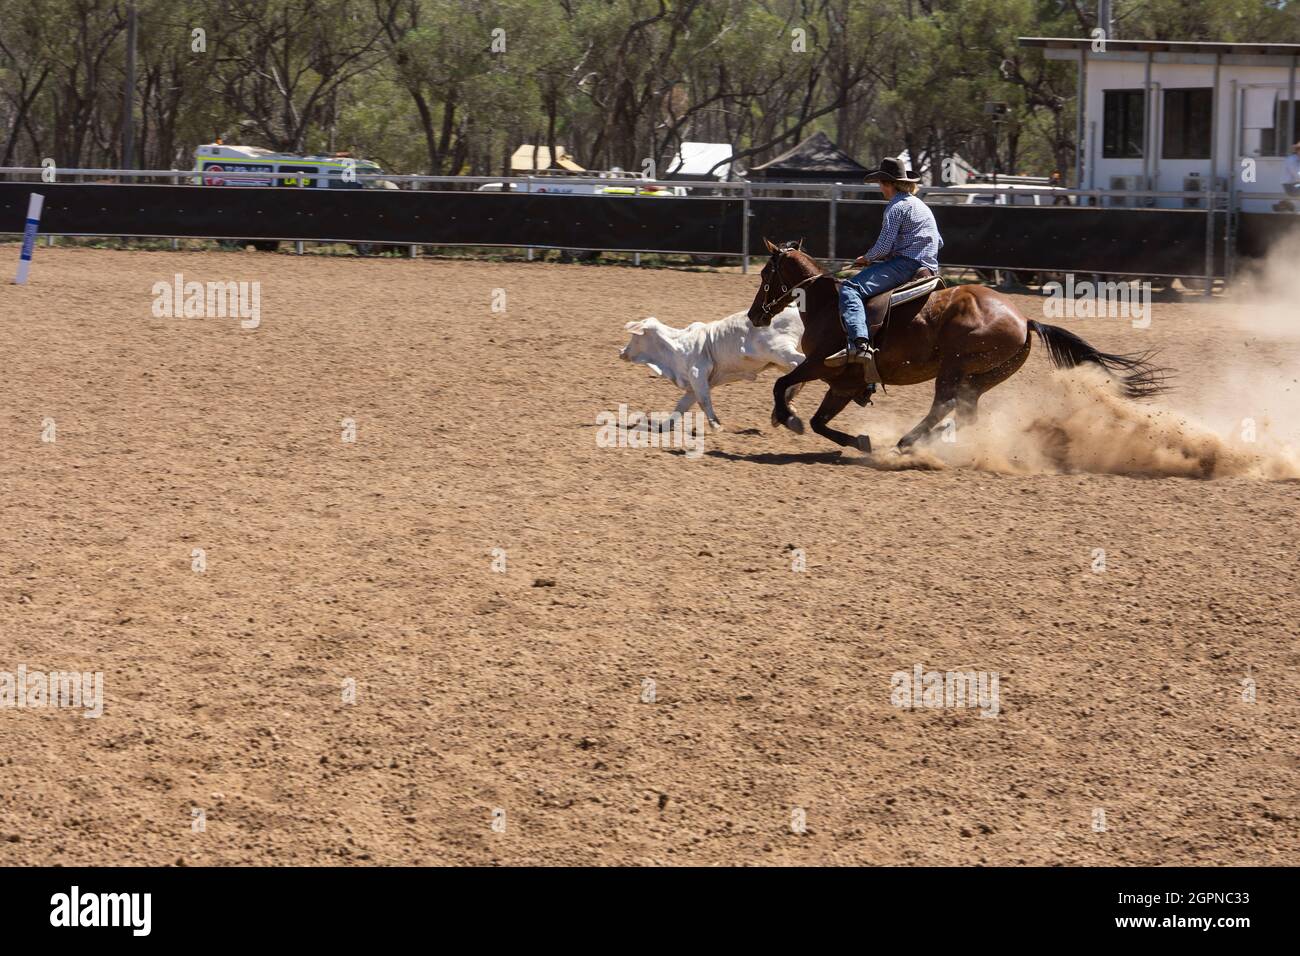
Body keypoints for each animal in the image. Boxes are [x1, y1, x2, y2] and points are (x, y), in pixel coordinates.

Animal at [743, 238, 1170, 450]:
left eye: (765, 274)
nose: (754, 315)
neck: (826, 303)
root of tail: (1024, 320)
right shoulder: (844, 384)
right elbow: (819, 420)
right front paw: (859, 440)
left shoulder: (819, 363)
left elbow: (781, 385)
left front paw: (788, 418)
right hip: (984, 376)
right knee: (965, 411)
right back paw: (932, 440)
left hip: (953, 367)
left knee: (943, 406)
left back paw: (909, 441)